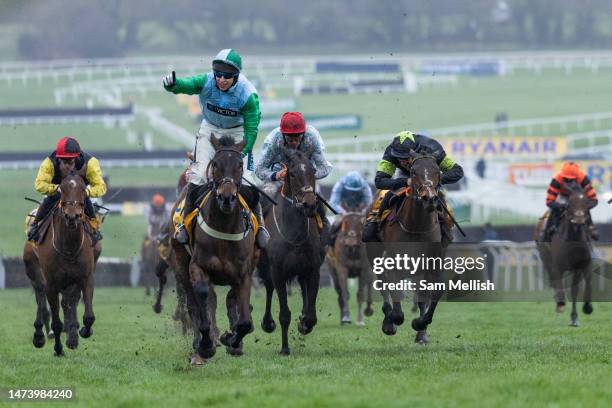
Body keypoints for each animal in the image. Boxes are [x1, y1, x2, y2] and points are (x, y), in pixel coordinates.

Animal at [22, 171, 100, 356]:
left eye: (82, 189)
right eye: (62, 189)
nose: (72, 216)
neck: (69, 247)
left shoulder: (85, 277)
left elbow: (88, 316)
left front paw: (80, 332)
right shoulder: (51, 283)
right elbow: (56, 321)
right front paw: (58, 349)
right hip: (33, 269)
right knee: (40, 296)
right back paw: (39, 335)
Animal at [180, 135, 260, 364]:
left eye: (240, 165)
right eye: (215, 164)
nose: (227, 198)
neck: (224, 226)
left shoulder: (244, 274)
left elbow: (245, 321)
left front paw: (231, 340)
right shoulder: (197, 266)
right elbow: (202, 300)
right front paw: (206, 345)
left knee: (231, 300)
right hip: (180, 265)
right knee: (195, 304)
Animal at [258, 147, 326, 354]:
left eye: (313, 171)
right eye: (293, 173)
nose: (310, 205)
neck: (294, 235)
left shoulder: (313, 270)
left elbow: (311, 314)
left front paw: (304, 323)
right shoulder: (278, 272)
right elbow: (284, 314)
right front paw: (285, 349)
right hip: (266, 268)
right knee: (269, 287)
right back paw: (267, 323)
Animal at [370, 154, 448, 344]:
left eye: (437, 171)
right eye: (413, 172)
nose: (429, 198)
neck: (416, 226)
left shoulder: (432, 265)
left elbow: (435, 293)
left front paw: (420, 324)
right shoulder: (392, 264)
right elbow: (396, 307)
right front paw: (392, 320)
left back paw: (421, 334)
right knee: (382, 284)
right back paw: (388, 321)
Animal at [536, 181, 592, 326]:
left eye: (586, 202)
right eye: (570, 202)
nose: (579, 219)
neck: (573, 239)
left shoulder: (579, 266)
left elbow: (575, 290)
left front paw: (576, 316)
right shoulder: (557, 266)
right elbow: (558, 283)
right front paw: (561, 305)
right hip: (545, 258)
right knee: (553, 279)